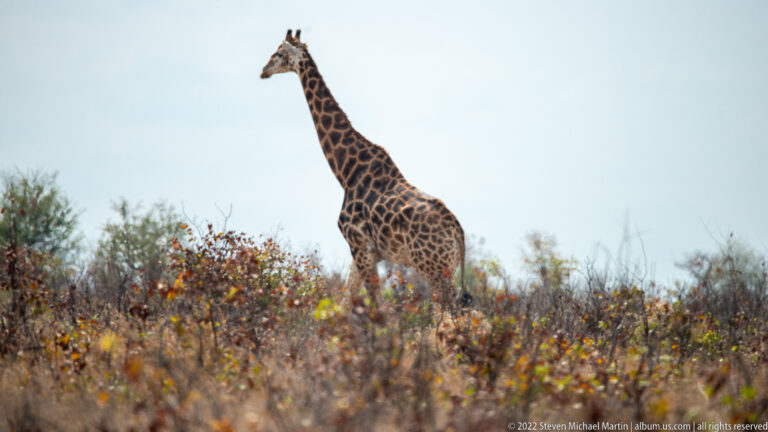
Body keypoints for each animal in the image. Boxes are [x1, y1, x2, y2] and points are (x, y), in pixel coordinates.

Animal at [261, 29, 471, 308]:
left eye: (279, 53)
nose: (263, 70)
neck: (347, 172)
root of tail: (458, 232)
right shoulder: (363, 251)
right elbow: (346, 300)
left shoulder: (360, 245)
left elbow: (375, 304)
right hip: (444, 266)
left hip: (433, 267)